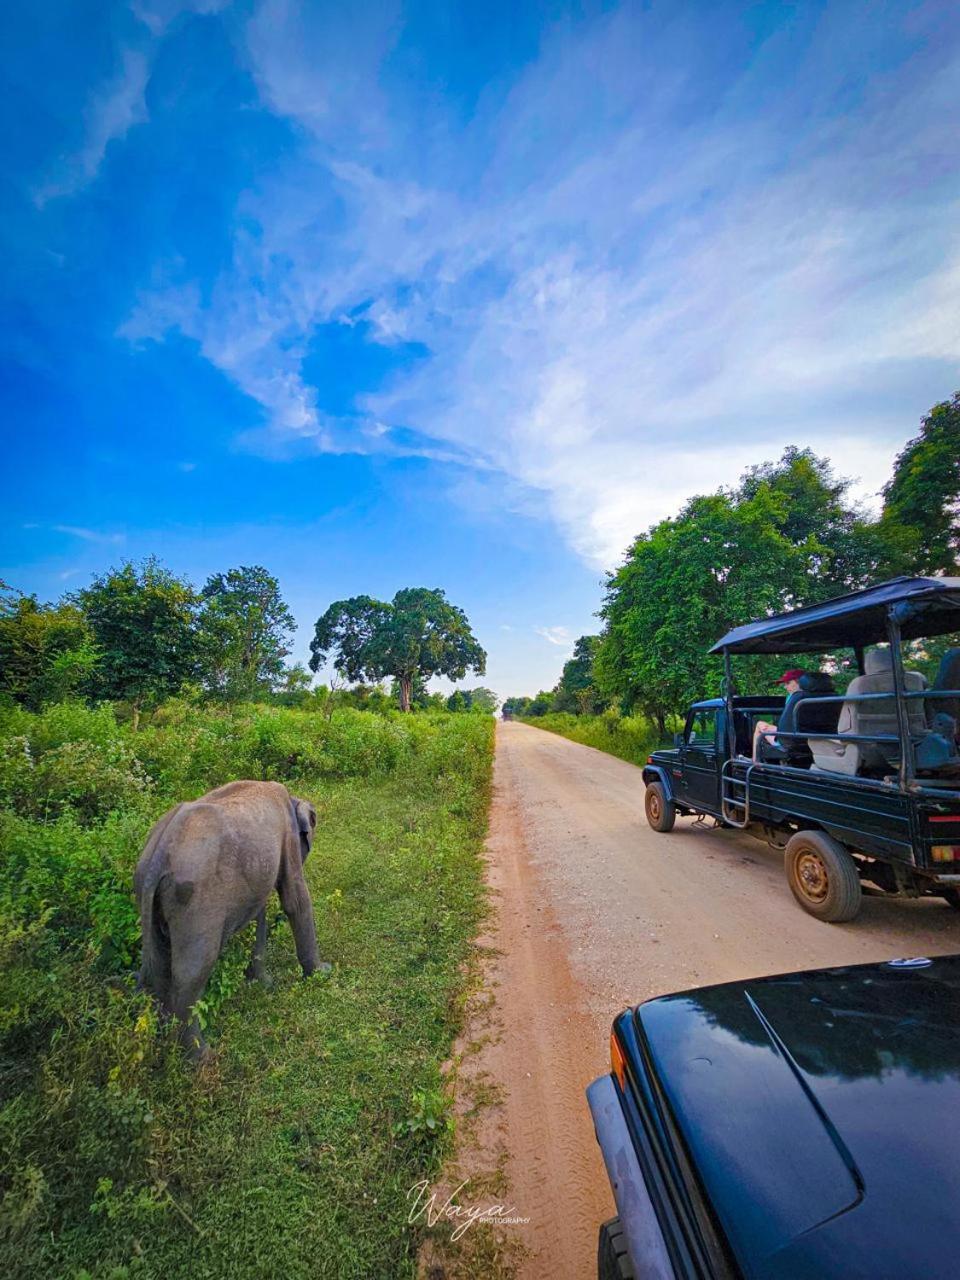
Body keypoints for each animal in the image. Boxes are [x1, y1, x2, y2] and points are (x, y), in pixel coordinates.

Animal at [133, 778, 327, 1059]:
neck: (290, 797)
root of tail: (157, 856)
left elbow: (260, 908)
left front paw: (262, 982)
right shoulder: (288, 837)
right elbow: (295, 900)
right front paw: (322, 973)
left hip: (150, 898)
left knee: (160, 963)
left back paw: (165, 1042)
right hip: (196, 903)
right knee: (192, 970)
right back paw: (202, 1056)